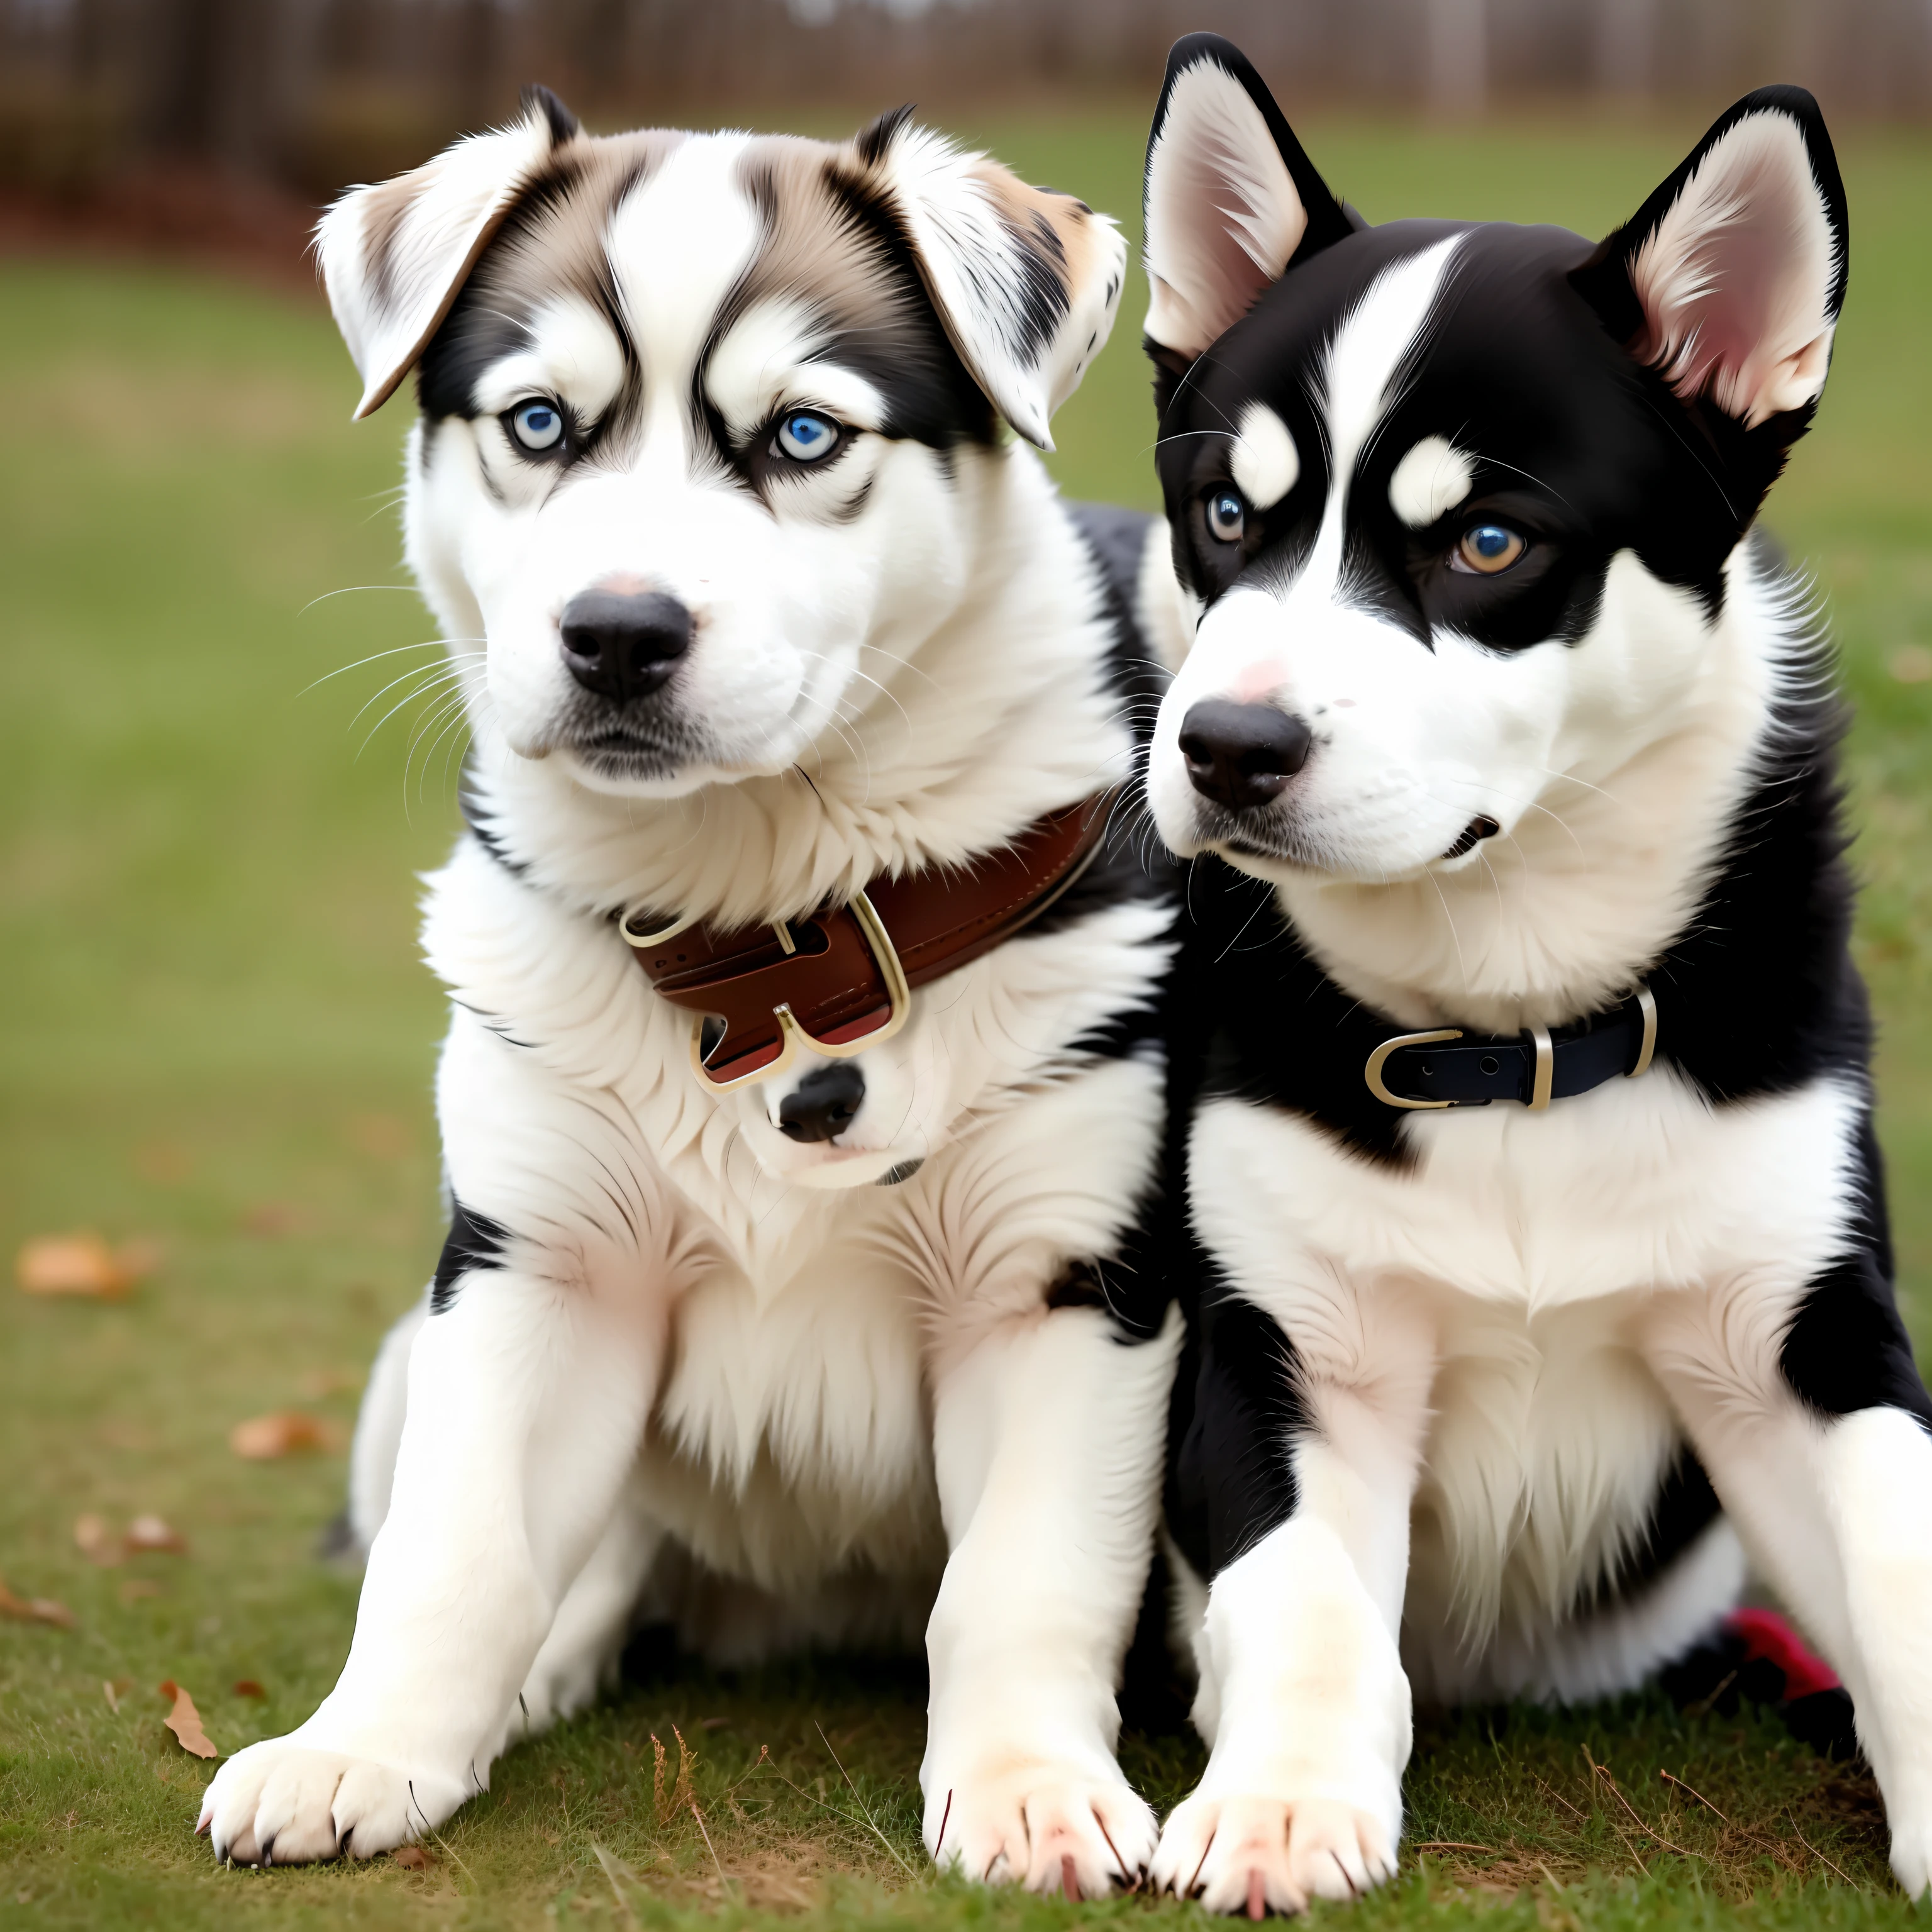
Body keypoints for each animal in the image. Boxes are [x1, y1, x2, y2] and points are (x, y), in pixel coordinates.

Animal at [204, 91, 1182, 1885]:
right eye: (537, 423)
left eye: (801, 437)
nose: (616, 635)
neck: (773, 933)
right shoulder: (535, 1263)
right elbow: (454, 1552)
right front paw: (363, 1746)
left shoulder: (1060, 1280)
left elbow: (1022, 1577)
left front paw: (1025, 1781)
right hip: (413, 1341)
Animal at [1128, 34, 1932, 1916]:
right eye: (1223, 515)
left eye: (1486, 544)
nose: (1226, 750)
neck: (1513, 1038)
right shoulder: (1287, 1345)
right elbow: (1302, 1595)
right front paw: (1281, 1799)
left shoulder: (1803, 1337)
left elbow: (1908, 1568)